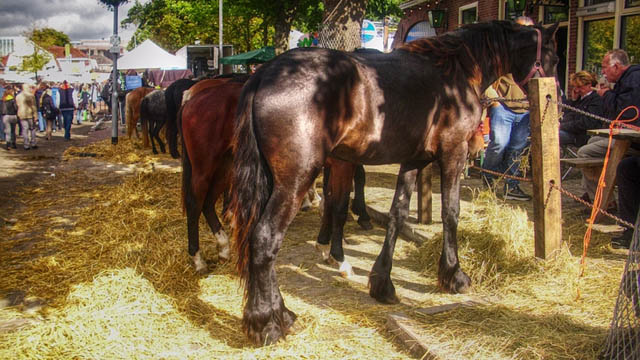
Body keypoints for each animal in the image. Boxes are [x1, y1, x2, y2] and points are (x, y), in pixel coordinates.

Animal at [228, 20, 556, 346]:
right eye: (553, 53)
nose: (556, 97)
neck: (456, 70)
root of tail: (263, 75)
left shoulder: (413, 161)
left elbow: (397, 215)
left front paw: (382, 284)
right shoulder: (453, 153)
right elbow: (451, 213)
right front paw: (454, 276)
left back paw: (282, 315)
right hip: (295, 181)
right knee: (265, 239)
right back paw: (267, 325)